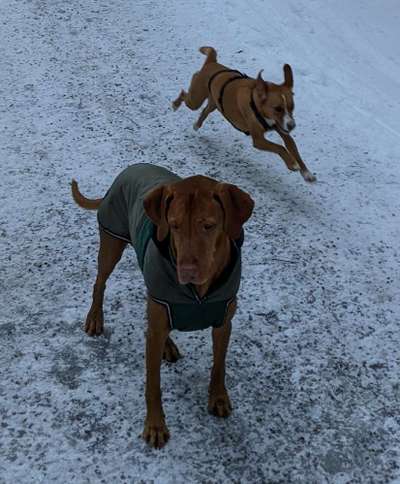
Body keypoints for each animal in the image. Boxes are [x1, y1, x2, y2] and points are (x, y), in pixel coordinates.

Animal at [71, 164, 253, 448]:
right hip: (112, 241)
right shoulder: (157, 323)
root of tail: (131, 167)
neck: (198, 295)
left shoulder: (224, 322)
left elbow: (219, 365)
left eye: (209, 226)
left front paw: (219, 397)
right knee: (100, 283)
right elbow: (153, 384)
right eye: (174, 225)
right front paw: (155, 425)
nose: (186, 272)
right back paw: (95, 318)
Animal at [172, 46, 316, 182]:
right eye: (278, 108)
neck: (257, 104)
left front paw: (306, 172)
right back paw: (175, 104)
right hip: (195, 99)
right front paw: (292, 163)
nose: (292, 126)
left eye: (292, 107)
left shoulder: (282, 129)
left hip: (214, 103)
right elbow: (279, 147)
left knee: (205, 110)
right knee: (185, 95)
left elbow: (292, 147)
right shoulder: (258, 140)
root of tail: (212, 63)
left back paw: (197, 124)